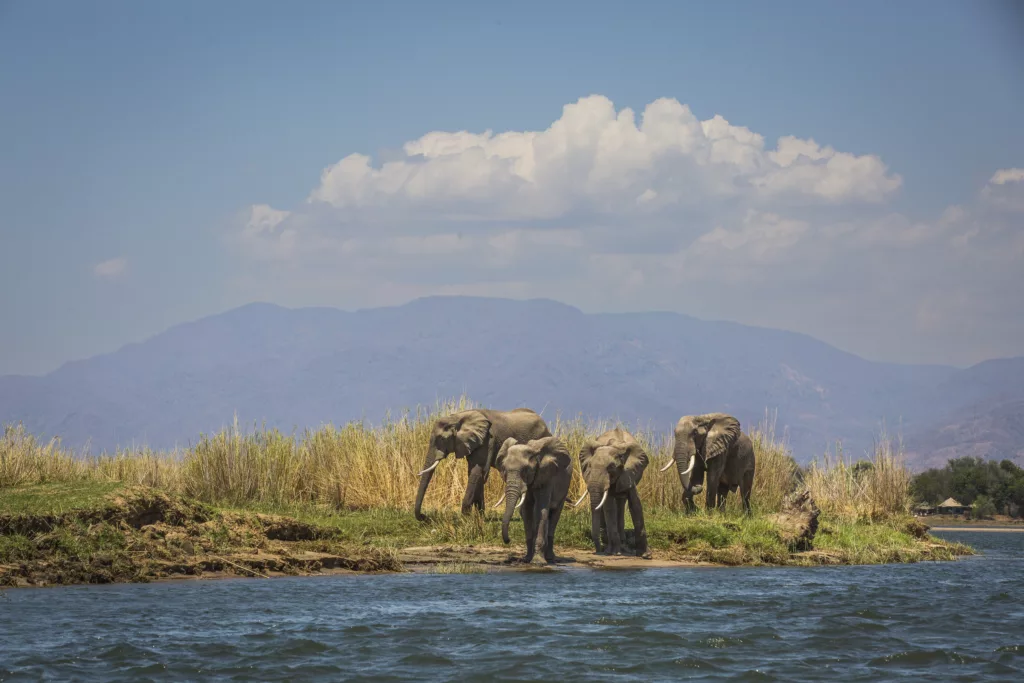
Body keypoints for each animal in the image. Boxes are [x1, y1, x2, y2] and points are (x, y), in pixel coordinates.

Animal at [411, 409, 552, 520]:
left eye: (441, 439)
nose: (425, 517)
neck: (458, 417)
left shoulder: (488, 440)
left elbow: (478, 471)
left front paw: (466, 517)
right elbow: (475, 473)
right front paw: (479, 517)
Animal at [497, 436, 577, 565]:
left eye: (526, 470)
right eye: (504, 469)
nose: (508, 540)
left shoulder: (546, 476)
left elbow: (541, 510)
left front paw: (537, 562)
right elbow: (526, 511)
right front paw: (527, 559)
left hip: (565, 487)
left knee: (554, 515)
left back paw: (550, 558)